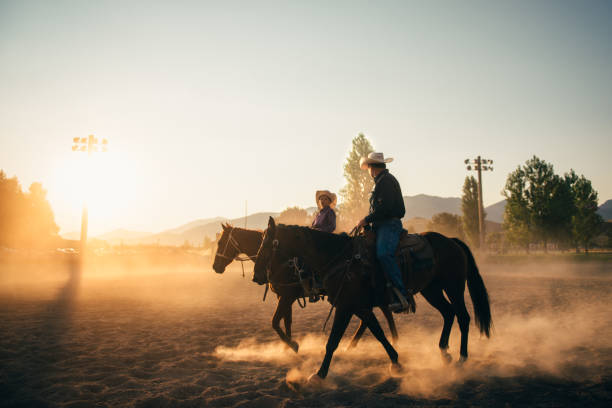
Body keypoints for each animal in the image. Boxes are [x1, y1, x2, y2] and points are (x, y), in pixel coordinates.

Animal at [213, 223, 400, 354]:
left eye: (221, 242)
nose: (215, 267)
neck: (281, 262)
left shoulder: (287, 297)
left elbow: (275, 322)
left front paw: (292, 345)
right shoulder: (284, 297)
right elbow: (286, 321)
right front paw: (287, 347)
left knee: (383, 312)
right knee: (373, 315)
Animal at [253, 218, 492, 380]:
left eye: (267, 244)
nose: (257, 275)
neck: (340, 259)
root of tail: (452, 241)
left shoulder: (345, 306)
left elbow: (333, 341)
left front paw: (318, 373)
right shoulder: (357, 306)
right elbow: (377, 331)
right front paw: (395, 362)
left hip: (453, 287)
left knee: (463, 316)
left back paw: (462, 357)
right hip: (431, 290)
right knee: (449, 313)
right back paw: (444, 352)